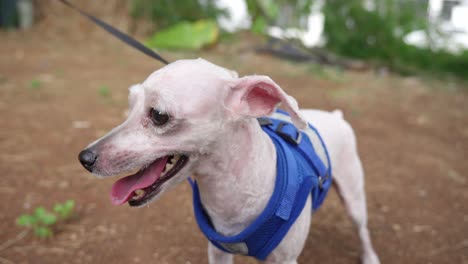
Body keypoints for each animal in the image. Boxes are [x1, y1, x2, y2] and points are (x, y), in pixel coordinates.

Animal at [77, 58, 380, 262]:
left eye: (159, 115)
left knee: (362, 229)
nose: (85, 158)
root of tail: (336, 116)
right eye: (130, 106)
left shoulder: (284, 260)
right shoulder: (218, 252)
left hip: (354, 199)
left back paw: (369, 256)